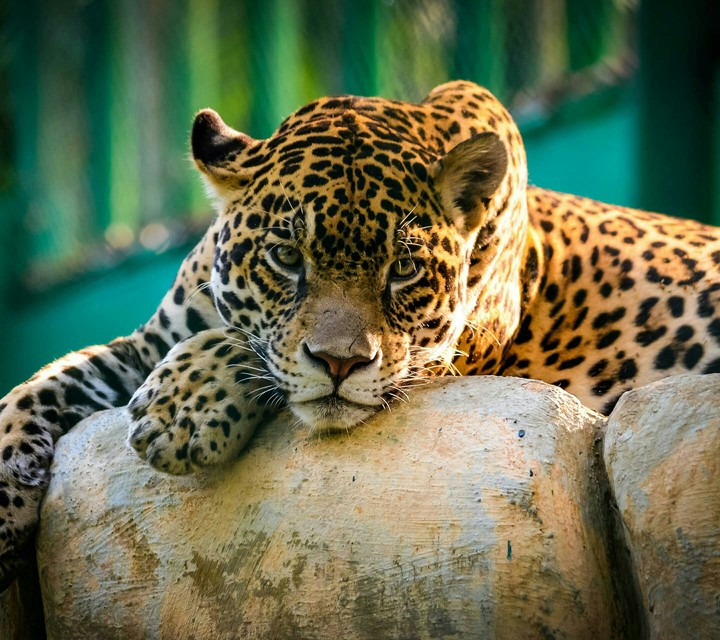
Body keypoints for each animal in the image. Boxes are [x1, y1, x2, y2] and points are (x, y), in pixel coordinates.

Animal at [1, 80, 719, 588]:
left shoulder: (447, 352)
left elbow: (251, 349)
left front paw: (181, 410)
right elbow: (38, 387)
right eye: (286, 257)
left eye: (403, 269)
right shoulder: (144, 343)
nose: (341, 363)